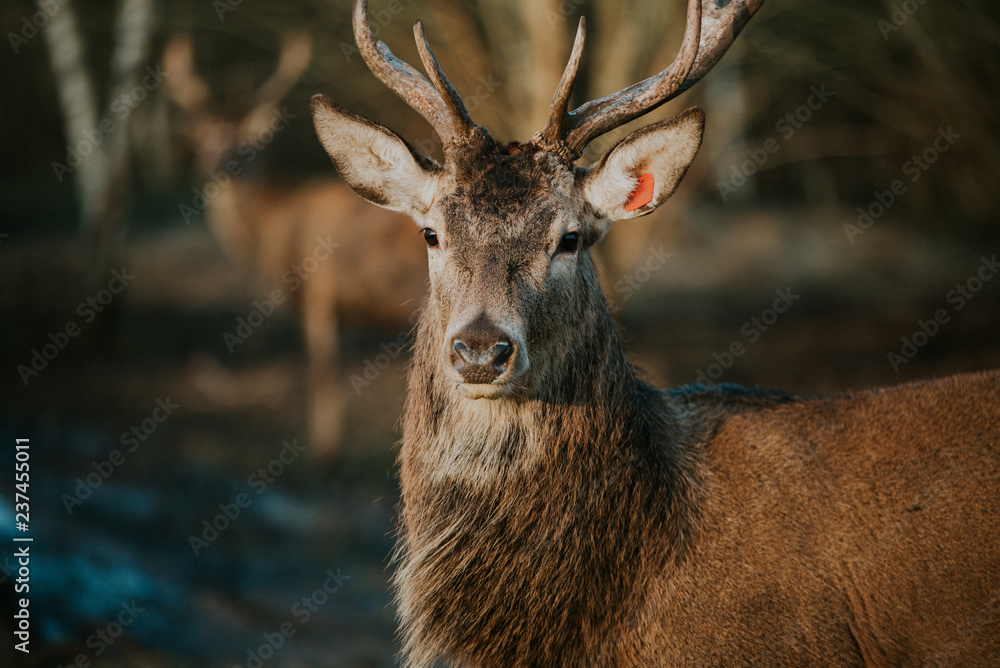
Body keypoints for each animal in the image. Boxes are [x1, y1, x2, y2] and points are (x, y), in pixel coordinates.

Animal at [163, 32, 428, 460]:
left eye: (247, 144)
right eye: (203, 139)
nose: (213, 167)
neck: (276, 224)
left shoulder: (317, 290)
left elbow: (321, 370)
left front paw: (325, 450)